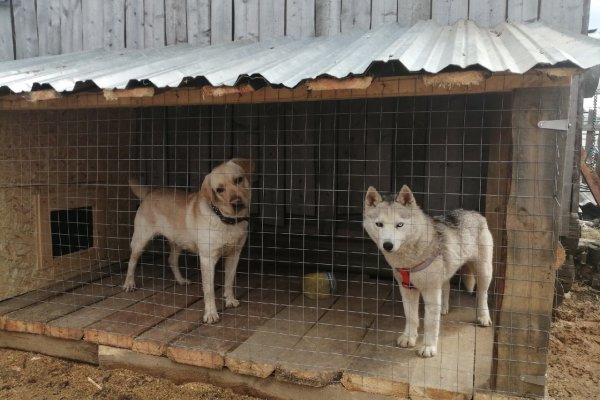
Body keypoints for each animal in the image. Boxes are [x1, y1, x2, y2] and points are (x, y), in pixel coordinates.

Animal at [123, 158, 254, 324]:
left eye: (238, 180)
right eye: (219, 189)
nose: (236, 202)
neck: (227, 221)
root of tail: (150, 192)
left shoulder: (234, 254)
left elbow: (229, 280)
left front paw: (229, 299)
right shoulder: (207, 259)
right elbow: (209, 290)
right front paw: (210, 313)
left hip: (178, 242)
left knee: (171, 260)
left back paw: (181, 280)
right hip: (141, 240)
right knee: (132, 262)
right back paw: (129, 284)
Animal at [364, 184, 494, 356]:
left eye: (400, 225)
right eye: (379, 224)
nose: (388, 245)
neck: (411, 259)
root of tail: (474, 213)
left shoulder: (430, 291)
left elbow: (430, 323)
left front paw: (428, 347)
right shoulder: (407, 289)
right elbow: (411, 317)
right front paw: (409, 338)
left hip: (484, 271)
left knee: (482, 295)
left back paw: (483, 317)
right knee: (446, 286)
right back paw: (443, 308)